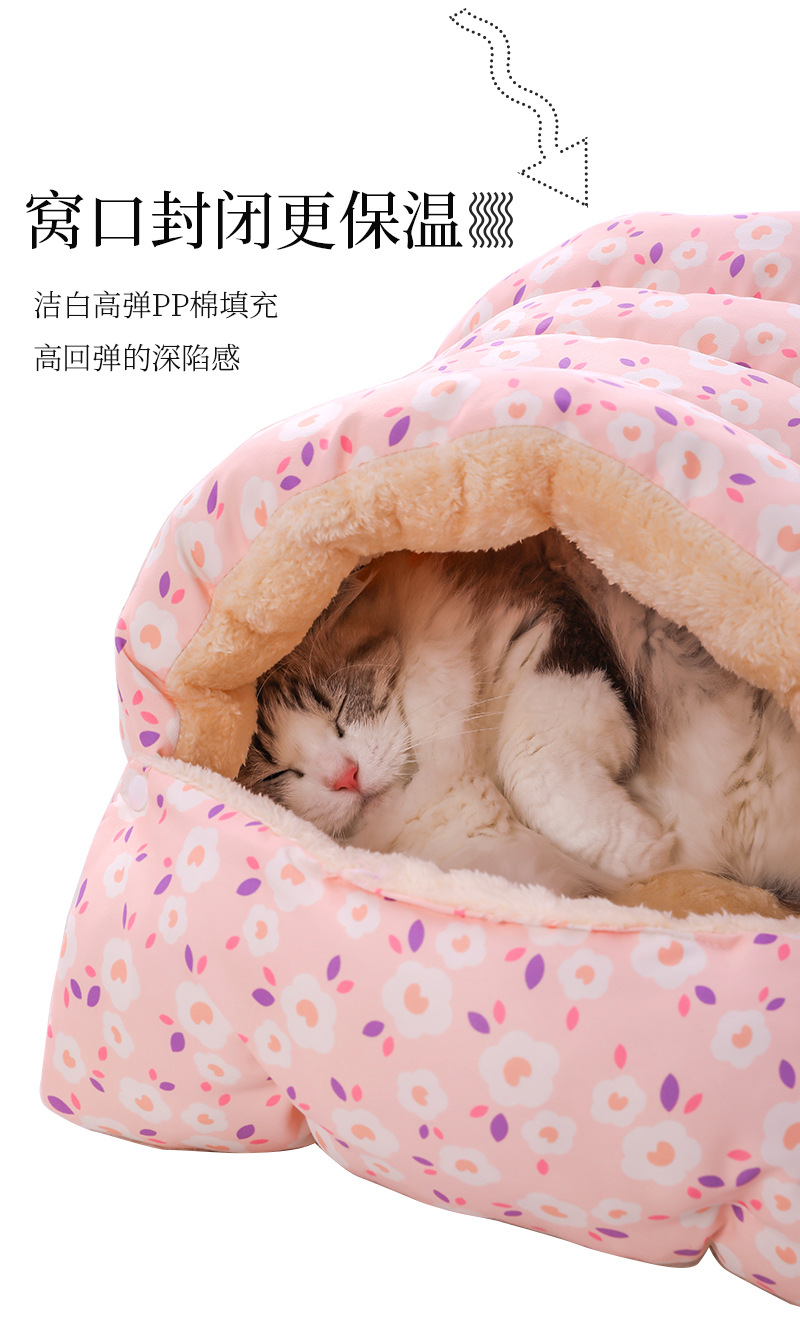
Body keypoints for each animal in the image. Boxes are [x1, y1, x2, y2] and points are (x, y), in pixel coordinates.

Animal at [237, 532, 800, 914]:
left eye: (332, 704)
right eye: (275, 773)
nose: (346, 777)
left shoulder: (551, 622)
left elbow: (532, 765)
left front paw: (644, 846)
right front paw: (652, 852)